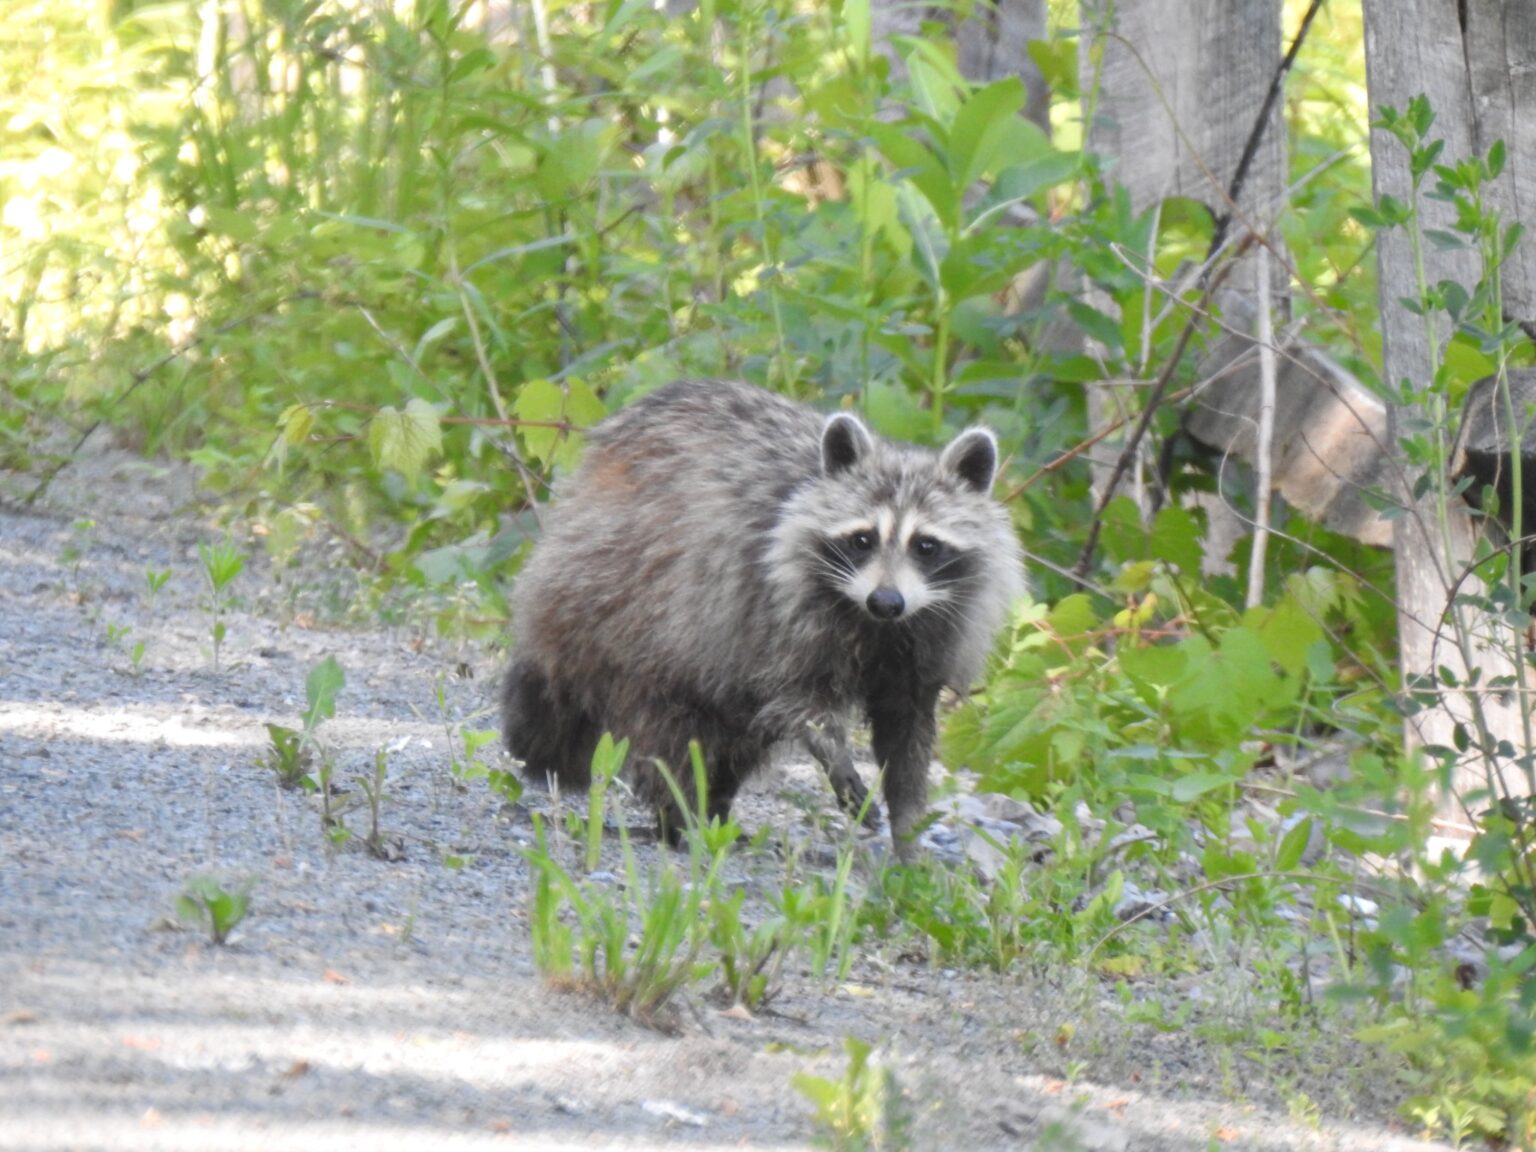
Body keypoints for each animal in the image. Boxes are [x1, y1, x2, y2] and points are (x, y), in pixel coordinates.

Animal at [501, 380, 1024, 857]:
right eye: (863, 540)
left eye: (926, 545)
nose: (886, 600)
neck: (878, 628)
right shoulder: (772, 608)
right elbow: (800, 702)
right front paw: (836, 758)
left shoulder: (931, 638)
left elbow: (908, 739)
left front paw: (909, 832)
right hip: (636, 607)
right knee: (670, 728)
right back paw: (681, 815)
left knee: (737, 739)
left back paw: (714, 808)